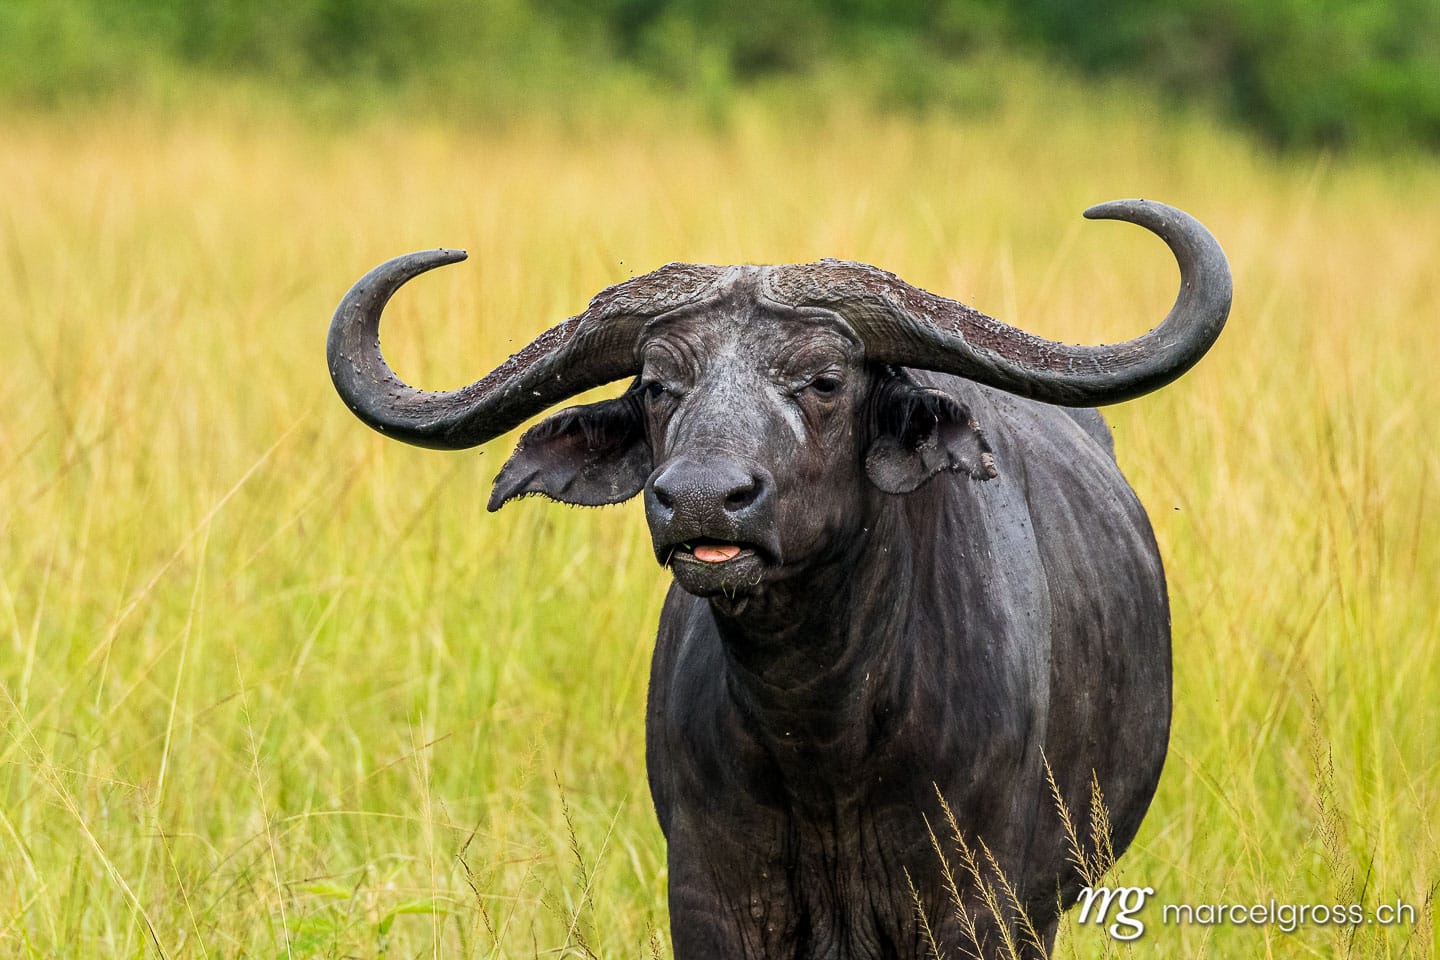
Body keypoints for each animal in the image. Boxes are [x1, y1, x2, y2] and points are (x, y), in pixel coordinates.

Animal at [327, 199, 1231, 959]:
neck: (823, 730)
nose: (699, 498)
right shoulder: (712, 897)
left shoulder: (980, 907)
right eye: (658, 386)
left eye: (824, 380)